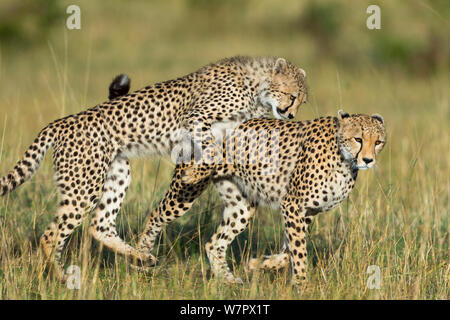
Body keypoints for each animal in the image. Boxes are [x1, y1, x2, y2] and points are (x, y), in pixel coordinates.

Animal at [0, 56, 306, 278]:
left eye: (302, 101)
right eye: (292, 96)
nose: (291, 115)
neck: (256, 88)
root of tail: (58, 123)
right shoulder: (197, 118)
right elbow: (206, 144)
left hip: (117, 174)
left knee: (100, 224)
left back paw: (141, 257)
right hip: (83, 188)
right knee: (50, 236)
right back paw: (62, 277)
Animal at [156, 110, 384, 282]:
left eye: (378, 142)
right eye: (358, 139)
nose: (368, 160)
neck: (344, 160)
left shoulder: (308, 211)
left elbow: (289, 248)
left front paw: (261, 263)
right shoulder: (293, 204)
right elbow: (298, 250)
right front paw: (302, 283)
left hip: (242, 208)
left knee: (214, 244)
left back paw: (227, 280)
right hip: (184, 193)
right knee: (157, 216)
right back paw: (146, 257)